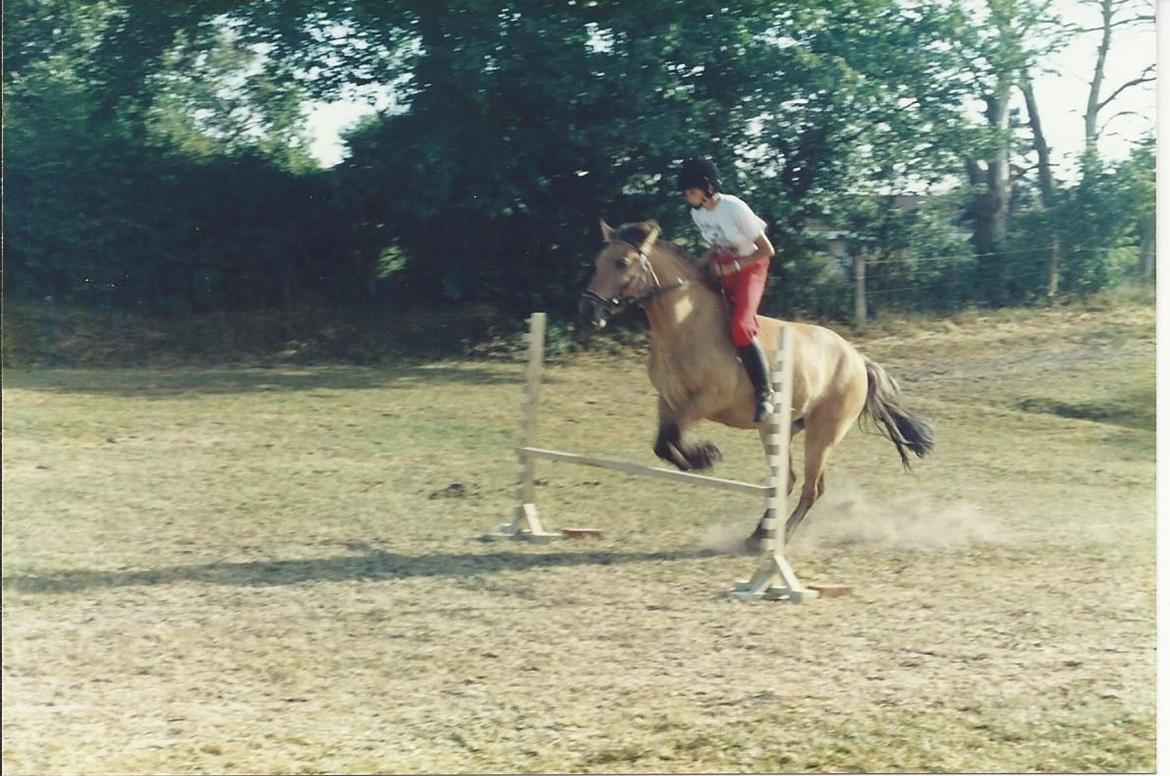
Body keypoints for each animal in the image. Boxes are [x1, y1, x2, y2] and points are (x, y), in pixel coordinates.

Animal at [575, 218, 931, 545]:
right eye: (598, 261)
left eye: (621, 263)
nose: (588, 312)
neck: (684, 325)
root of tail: (858, 359)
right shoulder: (669, 399)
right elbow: (663, 441)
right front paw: (696, 459)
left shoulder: (709, 400)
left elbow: (674, 435)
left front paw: (704, 455)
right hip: (777, 429)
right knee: (788, 481)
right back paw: (760, 532)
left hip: (822, 434)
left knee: (811, 488)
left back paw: (777, 537)